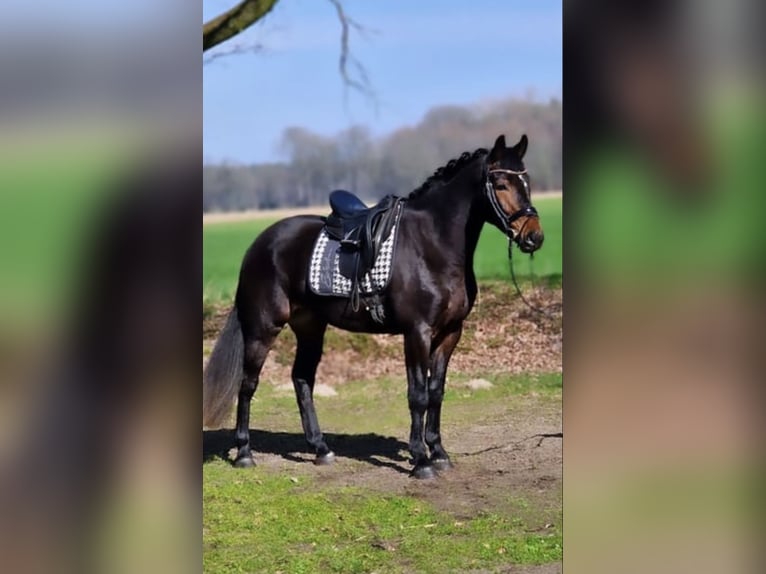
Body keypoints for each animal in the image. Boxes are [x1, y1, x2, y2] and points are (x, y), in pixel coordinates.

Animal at [201, 135, 544, 482]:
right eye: (500, 183)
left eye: (527, 181)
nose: (534, 237)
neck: (431, 246)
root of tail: (260, 243)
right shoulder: (417, 332)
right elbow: (418, 395)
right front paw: (421, 461)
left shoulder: (450, 333)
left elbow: (436, 392)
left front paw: (439, 453)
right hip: (263, 327)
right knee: (248, 384)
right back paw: (244, 453)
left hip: (310, 328)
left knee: (302, 379)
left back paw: (321, 449)